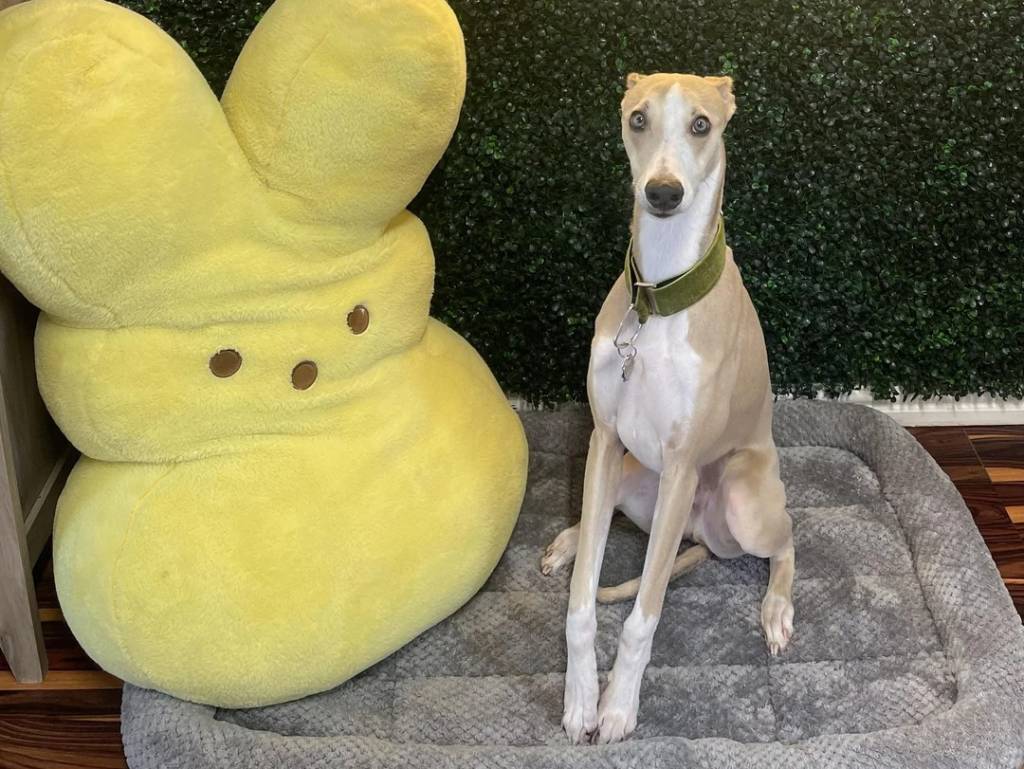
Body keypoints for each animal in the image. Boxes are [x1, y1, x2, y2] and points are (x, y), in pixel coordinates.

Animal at [540, 72, 796, 744]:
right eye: (638, 118)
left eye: (701, 124)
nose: (662, 192)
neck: (656, 301)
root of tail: (701, 535)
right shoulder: (604, 439)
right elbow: (581, 603)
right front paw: (581, 700)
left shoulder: (682, 465)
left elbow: (640, 618)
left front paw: (617, 708)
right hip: (635, 479)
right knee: (605, 516)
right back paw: (569, 540)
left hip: (740, 502)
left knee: (788, 539)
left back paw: (777, 610)